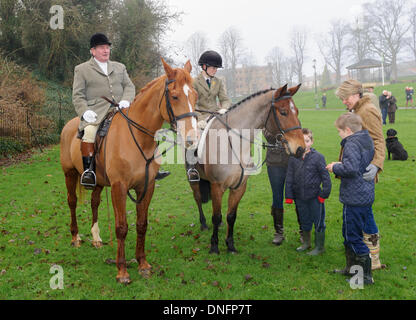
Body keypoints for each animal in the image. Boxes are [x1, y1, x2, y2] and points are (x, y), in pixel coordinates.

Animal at [59, 58, 200, 284]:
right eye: (175, 96)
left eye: (195, 95)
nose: (192, 139)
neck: (138, 138)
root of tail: (70, 124)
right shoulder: (119, 187)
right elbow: (122, 227)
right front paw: (122, 271)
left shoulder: (147, 186)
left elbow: (141, 224)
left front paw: (142, 263)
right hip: (69, 174)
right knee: (72, 202)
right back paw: (75, 237)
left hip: (99, 181)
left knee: (94, 203)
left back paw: (96, 238)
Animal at [190, 84, 304, 254]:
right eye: (283, 112)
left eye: (296, 111)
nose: (301, 149)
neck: (233, 145)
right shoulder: (217, 186)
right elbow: (216, 216)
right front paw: (214, 246)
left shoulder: (239, 187)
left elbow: (231, 216)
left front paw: (230, 245)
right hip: (194, 179)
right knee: (198, 199)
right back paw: (203, 224)